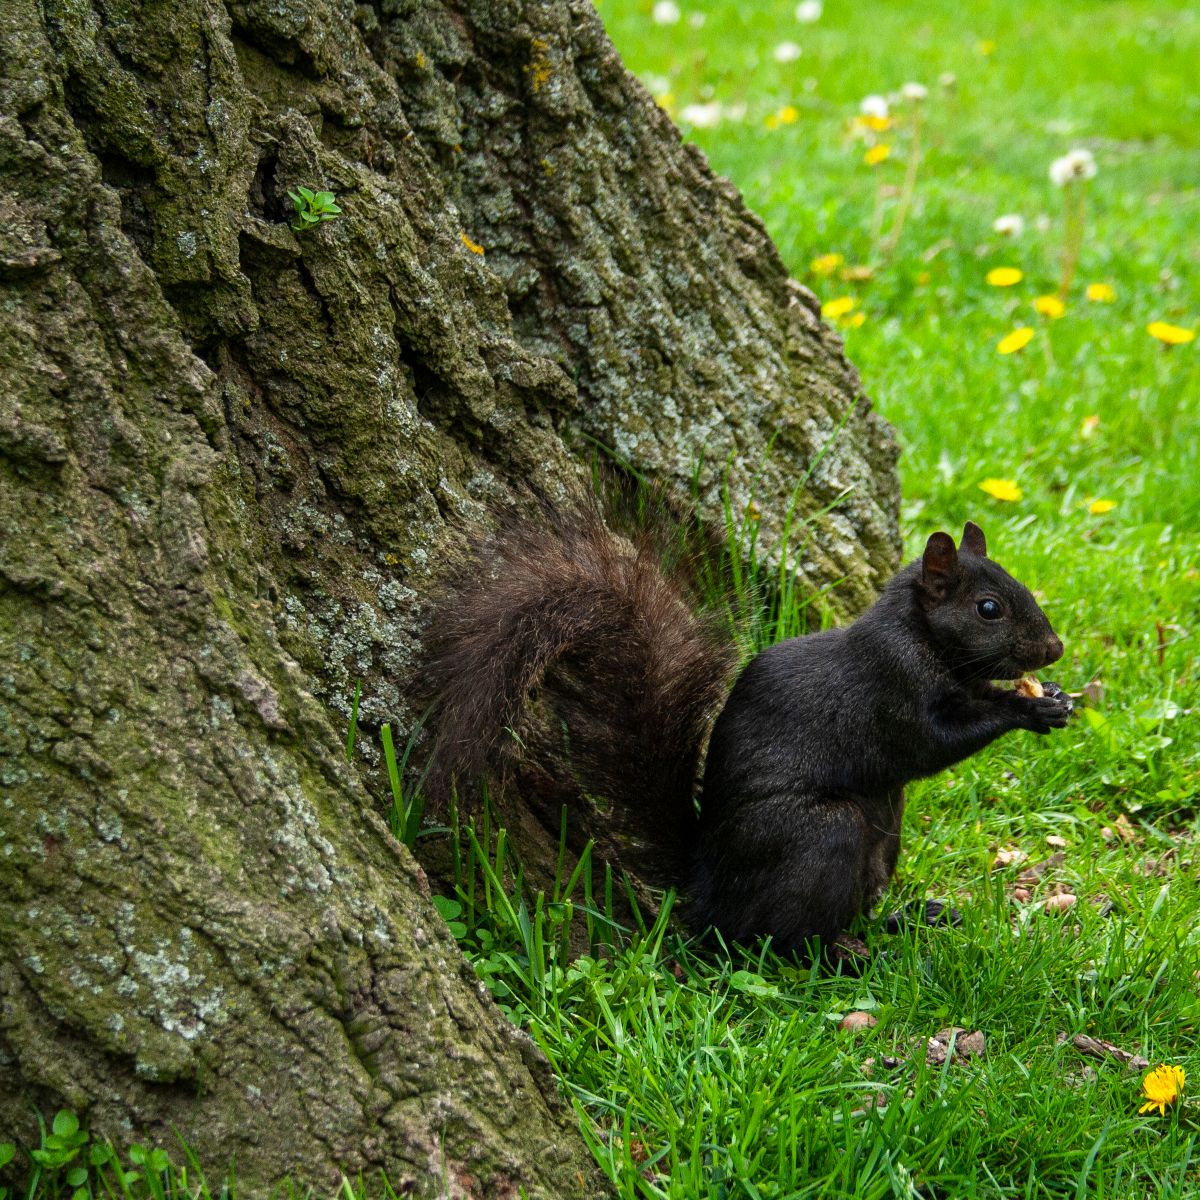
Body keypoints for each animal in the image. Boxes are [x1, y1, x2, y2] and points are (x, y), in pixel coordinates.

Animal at [422, 506, 1070, 955]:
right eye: (989, 608)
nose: (1054, 649)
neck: (922, 637)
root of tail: (707, 888)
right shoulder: (893, 690)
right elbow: (935, 743)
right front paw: (1027, 711)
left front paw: (1054, 699)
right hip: (822, 836)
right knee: (780, 939)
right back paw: (849, 954)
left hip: (883, 840)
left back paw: (903, 921)